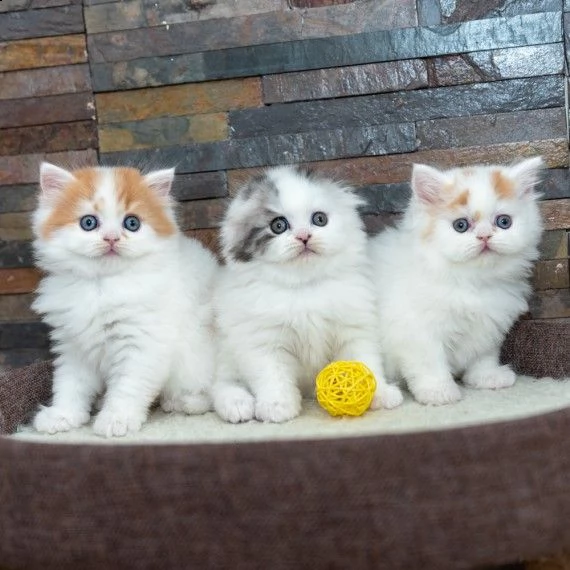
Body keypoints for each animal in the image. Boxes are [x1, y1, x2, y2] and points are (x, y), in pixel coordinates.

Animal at [31, 162, 217, 438]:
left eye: (132, 223)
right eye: (89, 223)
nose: (111, 238)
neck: (102, 285)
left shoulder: (143, 343)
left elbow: (129, 386)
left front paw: (117, 419)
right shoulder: (74, 346)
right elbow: (70, 384)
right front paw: (63, 415)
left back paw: (182, 402)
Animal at [211, 164, 402, 422]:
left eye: (319, 219)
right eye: (278, 226)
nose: (304, 236)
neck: (305, 286)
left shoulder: (353, 329)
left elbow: (366, 360)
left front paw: (380, 393)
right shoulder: (263, 341)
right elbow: (272, 375)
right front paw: (277, 406)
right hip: (226, 349)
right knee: (221, 383)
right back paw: (237, 404)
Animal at [368, 155, 540, 404]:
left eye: (504, 222)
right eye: (461, 225)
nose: (485, 236)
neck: (471, 282)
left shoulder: (489, 326)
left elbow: (484, 355)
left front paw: (486, 378)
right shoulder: (417, 331)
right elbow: (430, 363)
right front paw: (438, 391)